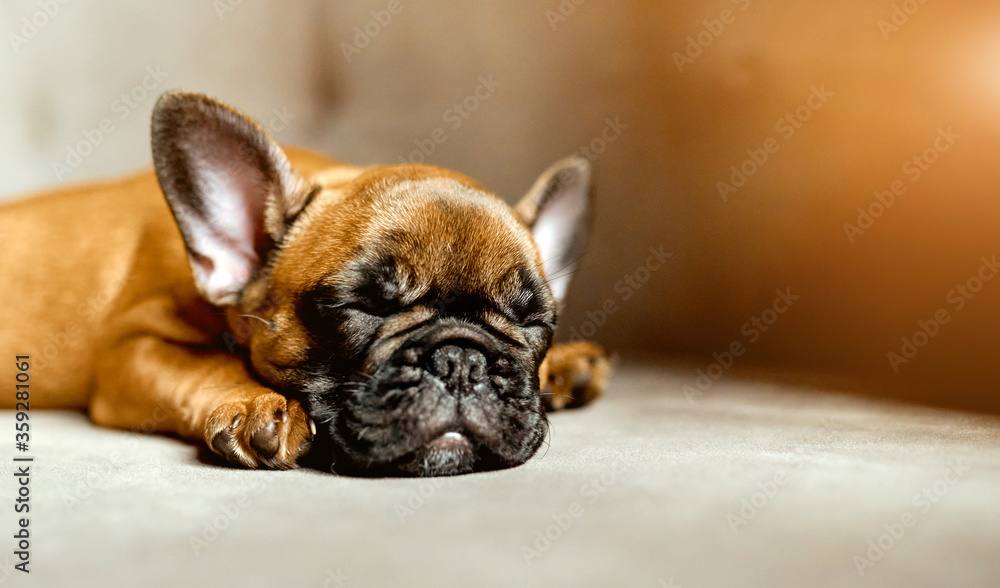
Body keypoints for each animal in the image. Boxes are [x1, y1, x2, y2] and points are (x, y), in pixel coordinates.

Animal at [0, 92, 608, 478]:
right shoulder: (130, 350)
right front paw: (253, 406)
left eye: (535, 322)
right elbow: (203, 364)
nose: (462, 360)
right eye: (359, 305)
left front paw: (561, 366)